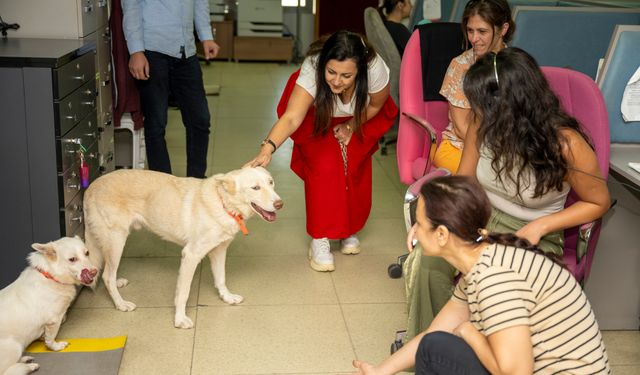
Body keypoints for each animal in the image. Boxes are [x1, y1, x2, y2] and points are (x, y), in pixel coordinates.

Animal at [0, 238, 97, 375]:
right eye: (72, 259)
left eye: (87, 253)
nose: (95, 272)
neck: (50, 276)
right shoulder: (54, 320)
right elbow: (50, 340)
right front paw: (56, 347)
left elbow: (45, 336)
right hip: (14, 347)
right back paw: (29, 367)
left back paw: (25, 359)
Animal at [84, 167, 284, 328]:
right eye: (255, 187)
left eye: (271, 182)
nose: (279, 204)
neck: (223, 203)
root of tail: (91, 187)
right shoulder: (191, 255)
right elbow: (183, 293)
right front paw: (179, 319)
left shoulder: (219, 251)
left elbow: (221, 279)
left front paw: (226, 297)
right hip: (117, 239)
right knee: (107, 276)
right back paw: (120, 304)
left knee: (108, 272)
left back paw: (118, 283)